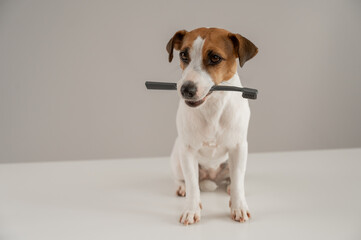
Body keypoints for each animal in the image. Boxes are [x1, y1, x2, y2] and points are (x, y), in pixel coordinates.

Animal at [166, 27, 256, 225]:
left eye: (215, 57)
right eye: (183, 55)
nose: (186, 89)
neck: (212, 105)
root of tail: (211, 175)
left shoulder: (239, 147)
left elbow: (238, 180)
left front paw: (238, 206)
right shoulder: (188, 150)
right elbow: (192, 184)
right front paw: (191, 209)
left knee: (233, 178)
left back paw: (229, 186)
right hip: (177, 158)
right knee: (182, 179)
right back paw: (182, 188)